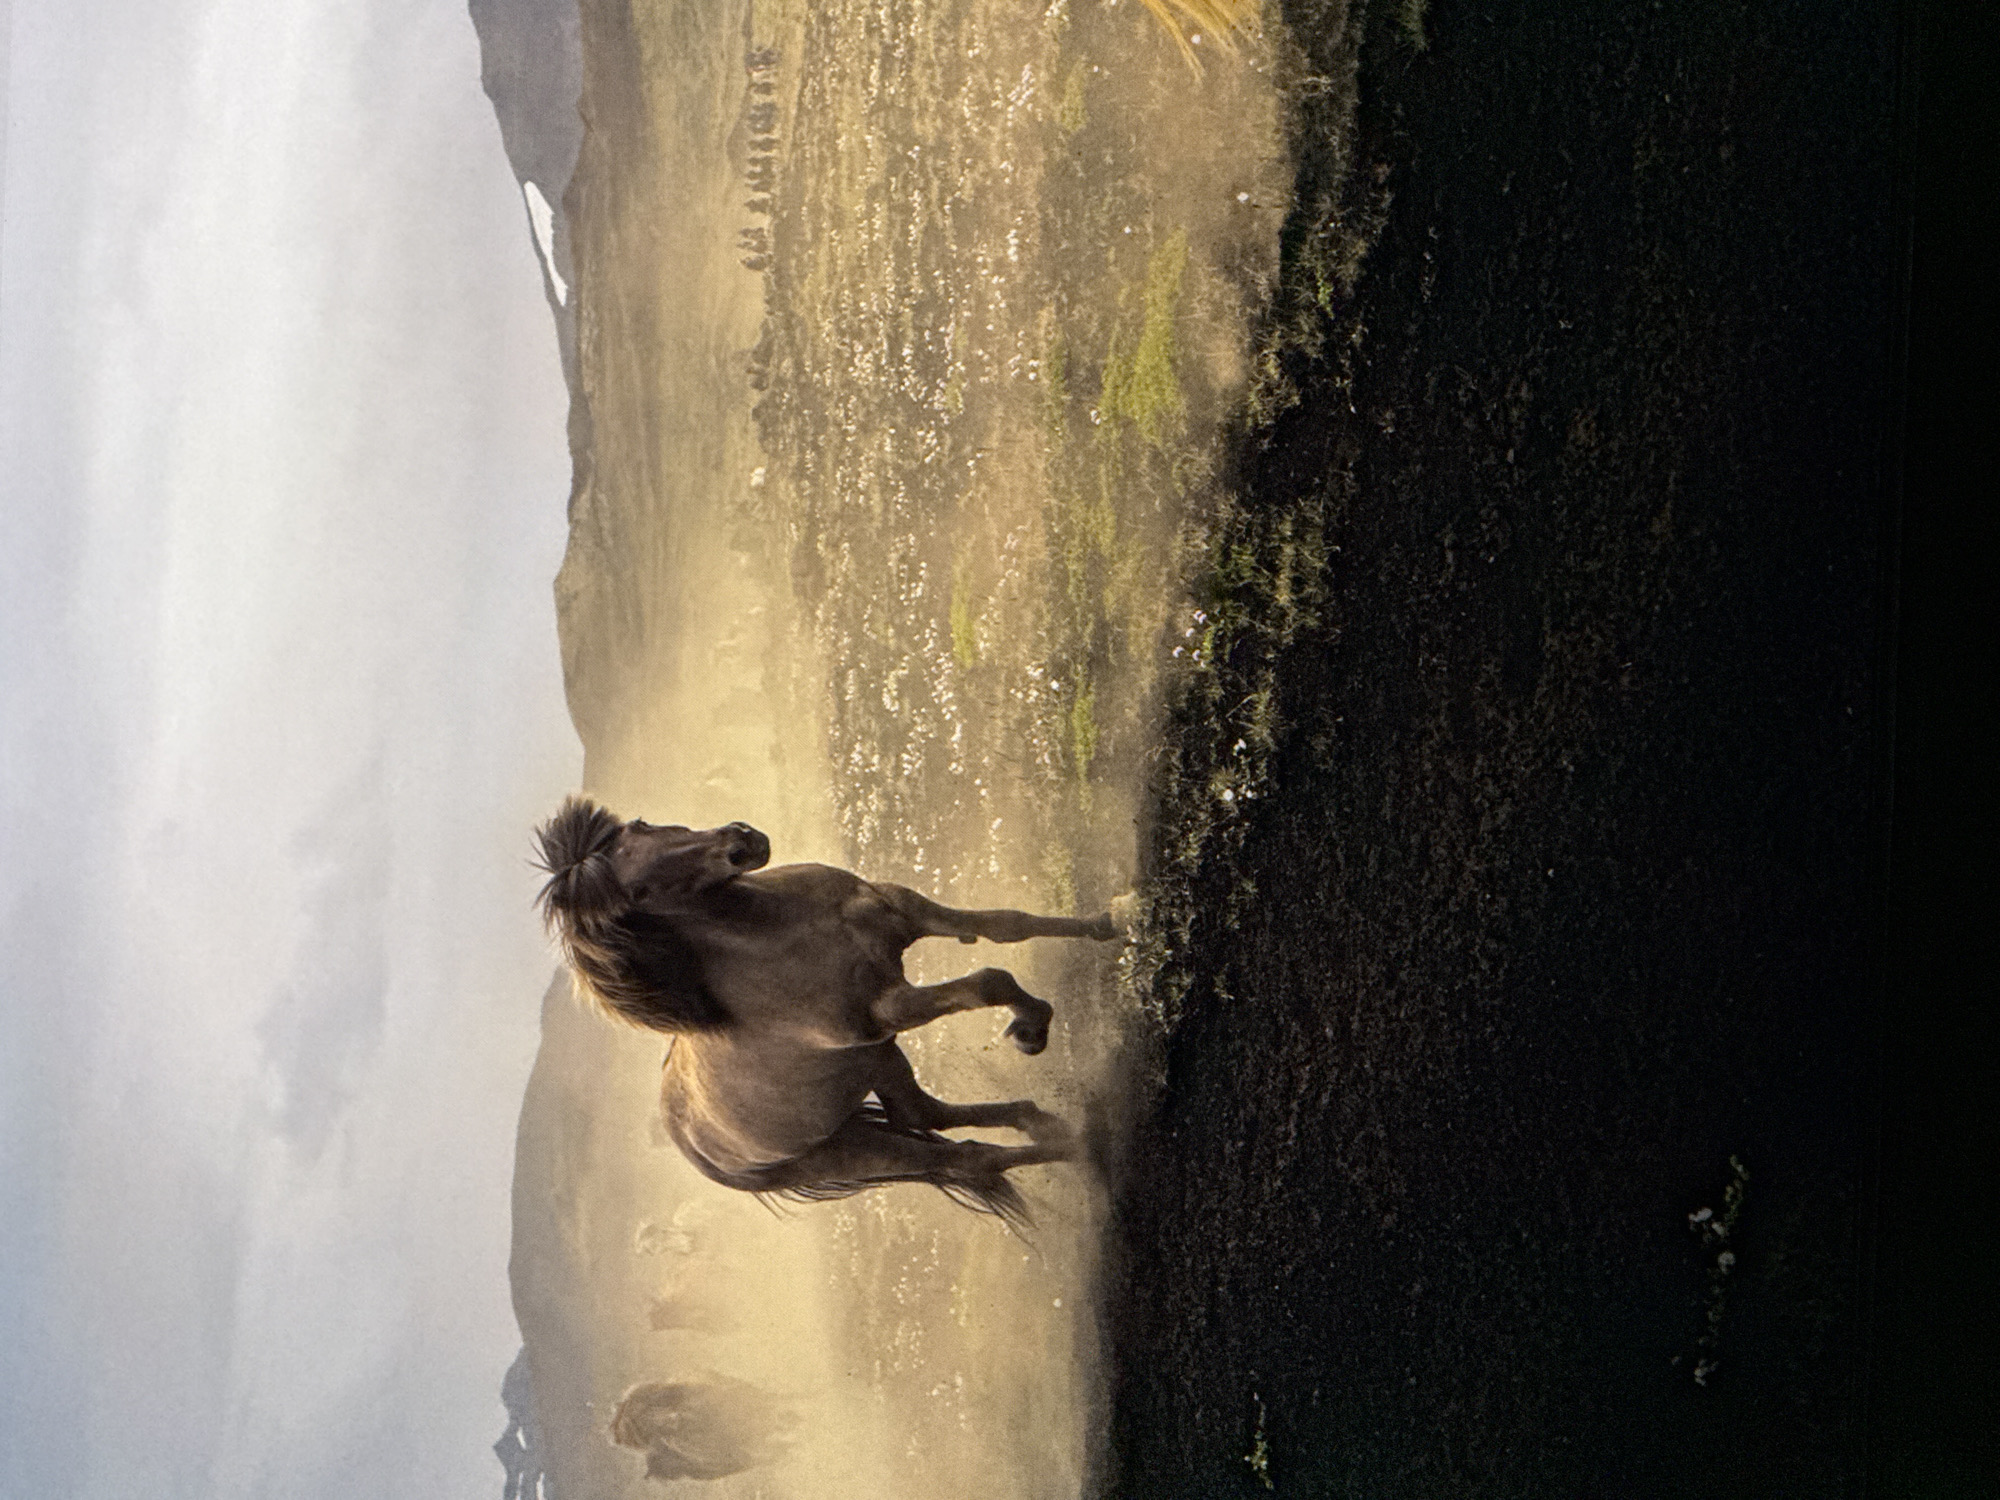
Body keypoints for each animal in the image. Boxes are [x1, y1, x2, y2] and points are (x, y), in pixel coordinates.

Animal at [532, 797, 1123, 1225]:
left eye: (640, 824)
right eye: (638, 891)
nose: (740, 842)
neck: (781, 930)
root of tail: (698, 1151)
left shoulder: (902, 910)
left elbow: (1008, 924)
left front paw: (1111, 920)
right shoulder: (888, 1009)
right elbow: (987, 982)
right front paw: (1031, 1028)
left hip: (871, 1063)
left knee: (922, 1113)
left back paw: (1042, 1122)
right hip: (850, 1140)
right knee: (966, 1156)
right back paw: (1077, 1145)